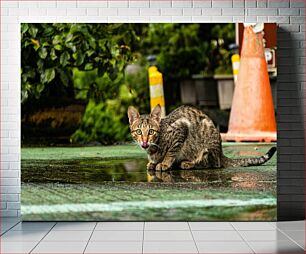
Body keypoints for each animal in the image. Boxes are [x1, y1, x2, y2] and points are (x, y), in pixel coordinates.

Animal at [127, 104, 278, 172]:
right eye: (139, 131)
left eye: (151, 131)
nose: (145, 142)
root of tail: (221, 153)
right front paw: (153, 162)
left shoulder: (181, 130)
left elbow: (171, 152)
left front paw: (164, 163)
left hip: (207, 146)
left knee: (212, 163)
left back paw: (188, 163)